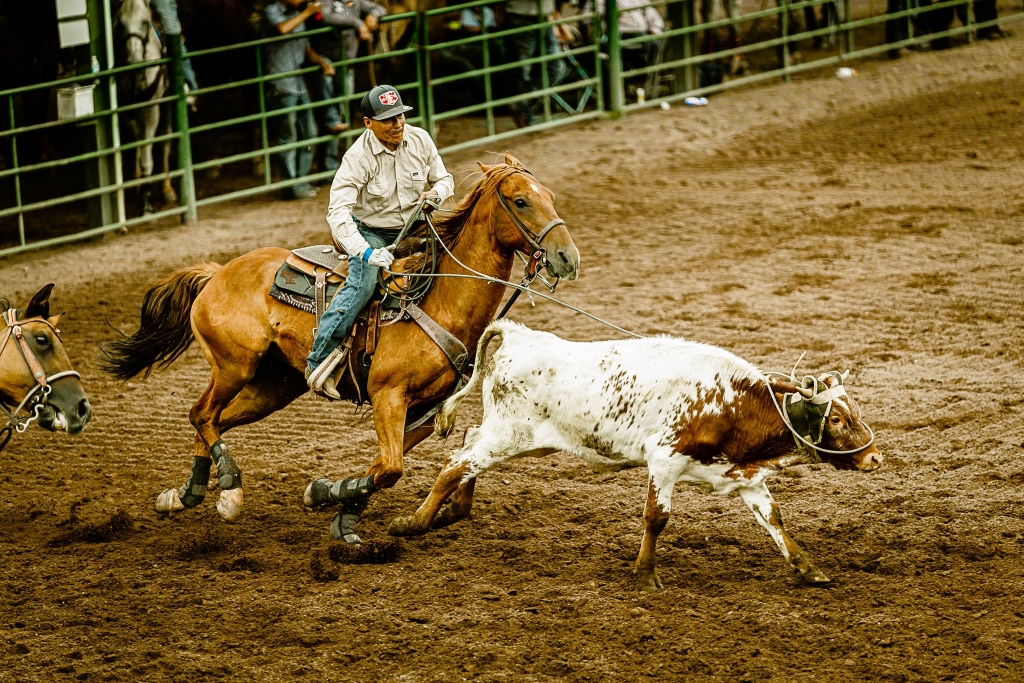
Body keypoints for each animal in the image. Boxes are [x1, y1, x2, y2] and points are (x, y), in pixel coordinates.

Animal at [99, 153, 581, 540]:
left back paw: (187, 494)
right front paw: (329, 498)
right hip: (234, 367)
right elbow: (390, 468)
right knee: (202, 414)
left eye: (551, 195)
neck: (436, 298)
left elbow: (381, 467)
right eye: (521, 201)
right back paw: (229, 493)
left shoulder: (425, 410)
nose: (567, 258)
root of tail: (216, 273)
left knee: (213, 420)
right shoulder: (388, 396)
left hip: (273, 387)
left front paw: (335, 505)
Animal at [387, 321, 884, 593]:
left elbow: (773, 519)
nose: (876, 458)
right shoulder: (664, 460)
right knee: (455, 463)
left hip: (515, 436)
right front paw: (645, 574)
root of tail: (518, 335)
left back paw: (456, 508)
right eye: (839, 418)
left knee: (466, 444)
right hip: (508, 433)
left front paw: (808, 568)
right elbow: (656, 518)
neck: (728, 400)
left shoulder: (744, 475)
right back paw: (414, 522)